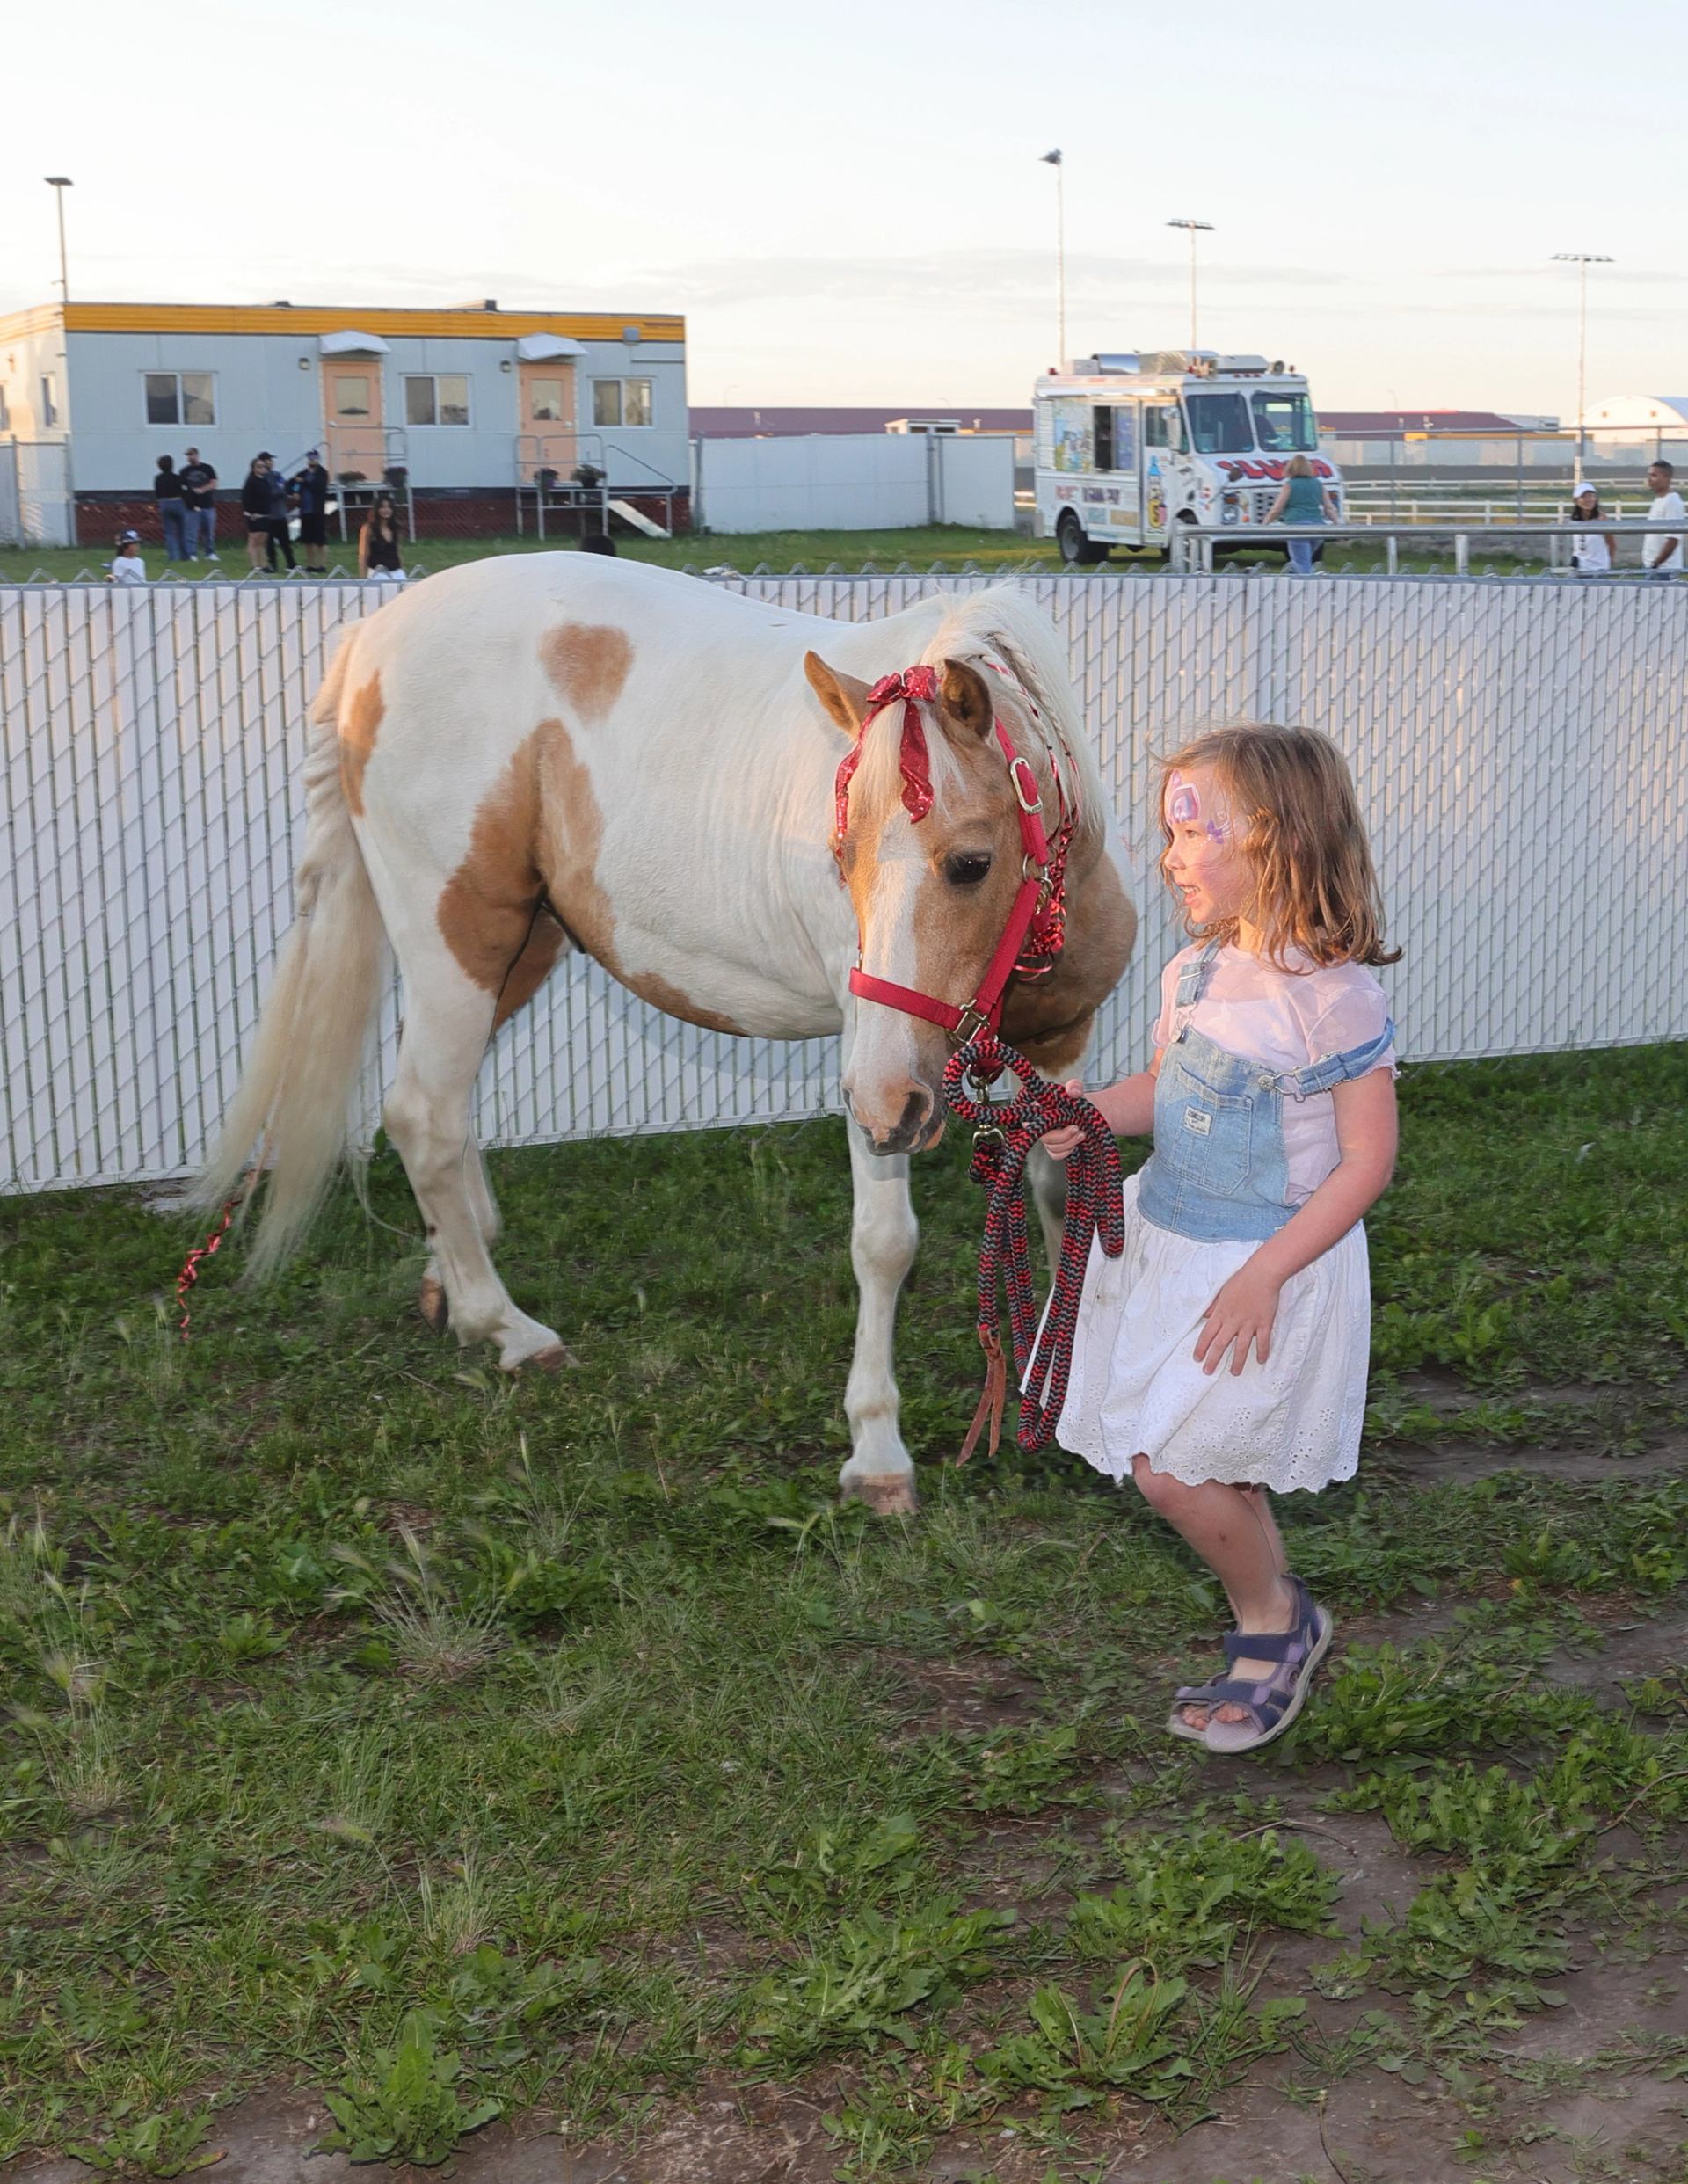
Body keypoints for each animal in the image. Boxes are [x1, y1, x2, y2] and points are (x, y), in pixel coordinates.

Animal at [195, 558, 1137, 1512]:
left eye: (971, 863)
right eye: (841, 858)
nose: (890, 1102)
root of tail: (368, 642)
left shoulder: (1060, 1045)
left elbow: (1061, 1193)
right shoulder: (869, 1062)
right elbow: (884, 1243)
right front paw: (877, 1449)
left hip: (516, 950)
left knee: (441, 1111)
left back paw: (453, 1283)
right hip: (455, 939)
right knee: (423, 1114)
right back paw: (507, 1328)